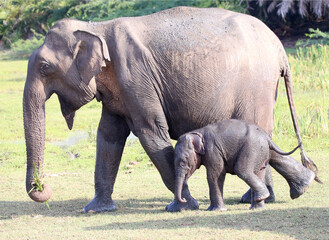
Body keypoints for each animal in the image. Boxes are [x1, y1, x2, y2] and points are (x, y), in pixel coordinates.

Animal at [174, 119, 316, 210]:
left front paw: (215, 210)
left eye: (183, 161)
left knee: (242, 170)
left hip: (252, 148)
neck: (197, 132)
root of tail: (266, 137)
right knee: (260, 170)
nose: (183, 200)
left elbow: (215, 175)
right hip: (261, 151)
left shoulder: (213, 151)